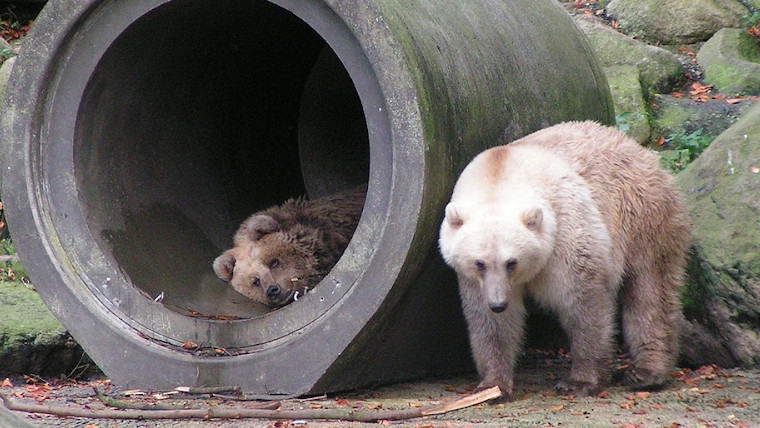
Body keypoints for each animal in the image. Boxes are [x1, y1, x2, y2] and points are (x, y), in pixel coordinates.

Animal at [440, 121, 696, 402]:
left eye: (512, 262)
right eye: (479, 263)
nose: (498, 303)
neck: (501, 174)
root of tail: (641, 150)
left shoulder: (566, 231)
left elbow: (583, 302)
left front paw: (580, 381)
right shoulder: (474, 280)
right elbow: (491, 324)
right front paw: (493, 387)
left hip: (643, 216)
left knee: (649, 291)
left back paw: (647, 372)